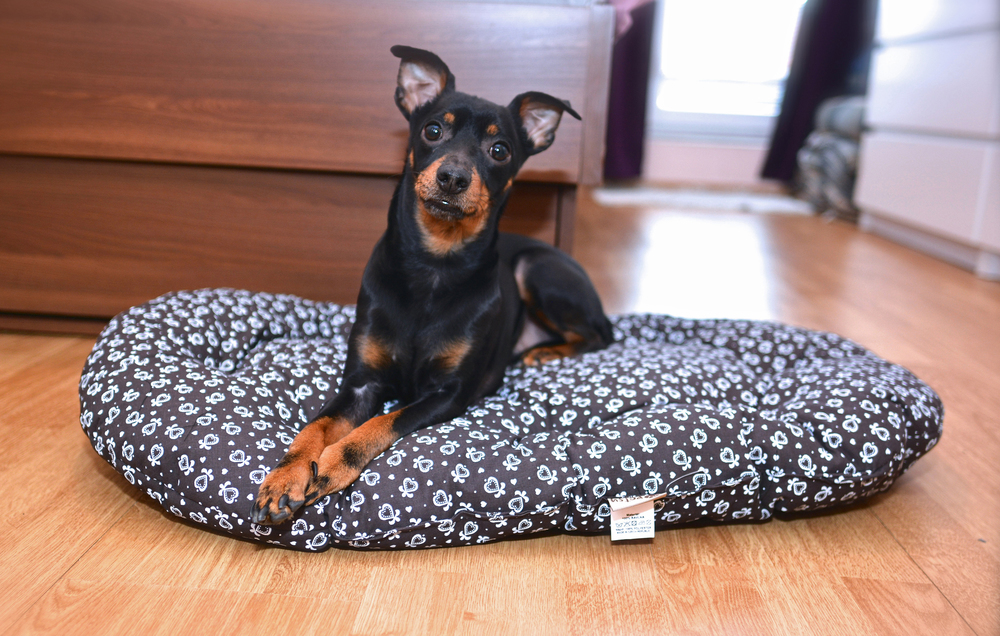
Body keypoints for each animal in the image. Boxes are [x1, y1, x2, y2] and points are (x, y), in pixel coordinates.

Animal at [250, 45, 612, 525]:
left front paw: (329, 466)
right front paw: (286, 475)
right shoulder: (360, 383)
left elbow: (381, 424)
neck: (433, 265)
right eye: (433, 129)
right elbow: (316, 425)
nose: (453, 178)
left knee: (599, 333)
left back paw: (547, 351)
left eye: (500, 150)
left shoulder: (447, 395)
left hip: (537, 269)